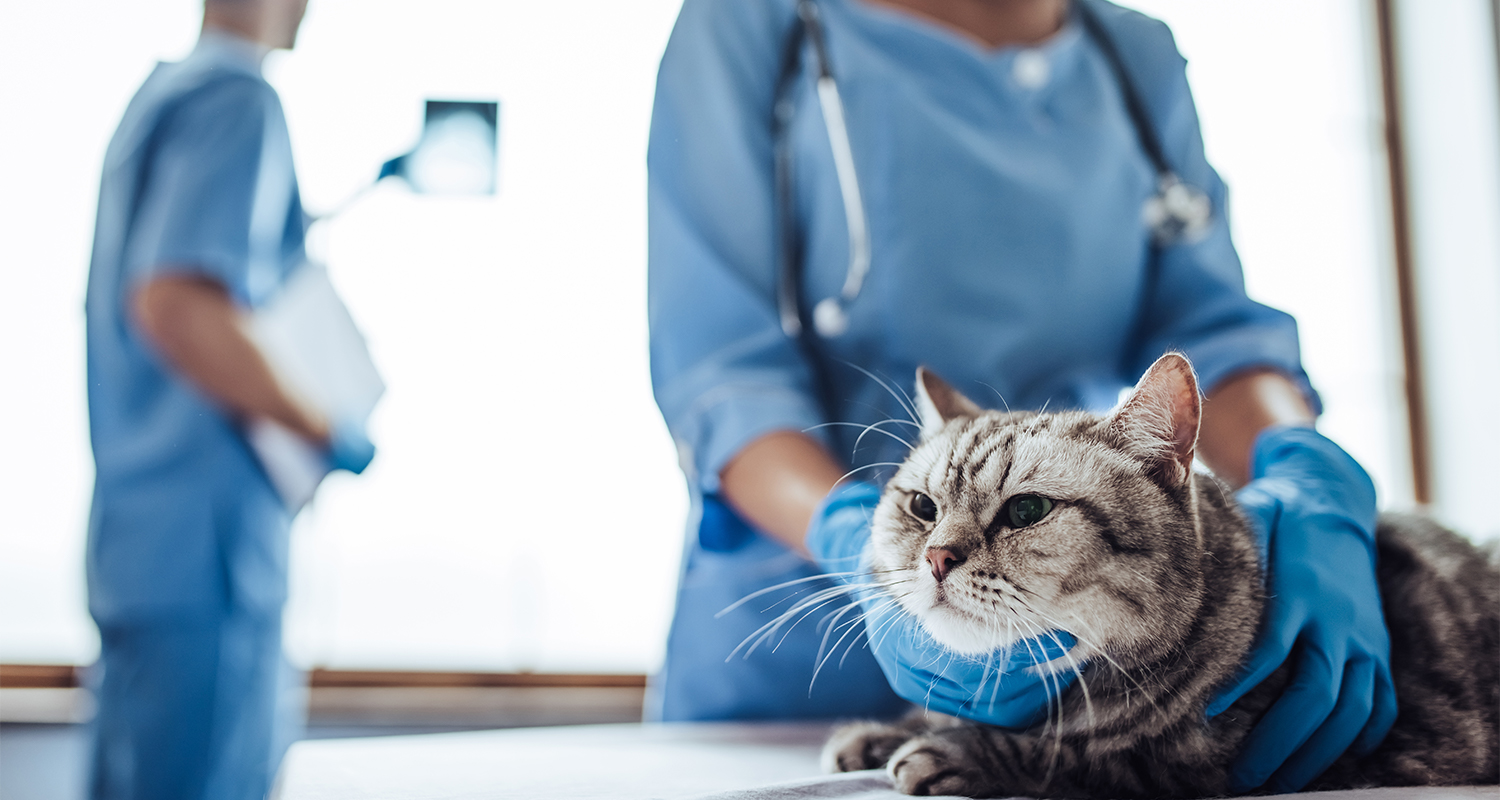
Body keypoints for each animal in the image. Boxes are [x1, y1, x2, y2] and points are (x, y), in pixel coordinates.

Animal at [828, 357, 1494, 798]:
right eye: (922, 507)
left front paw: (954, 750)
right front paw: (880, 735)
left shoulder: (1237, 763)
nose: (937, 556)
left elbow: (1077, 758)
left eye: (1026, 511)